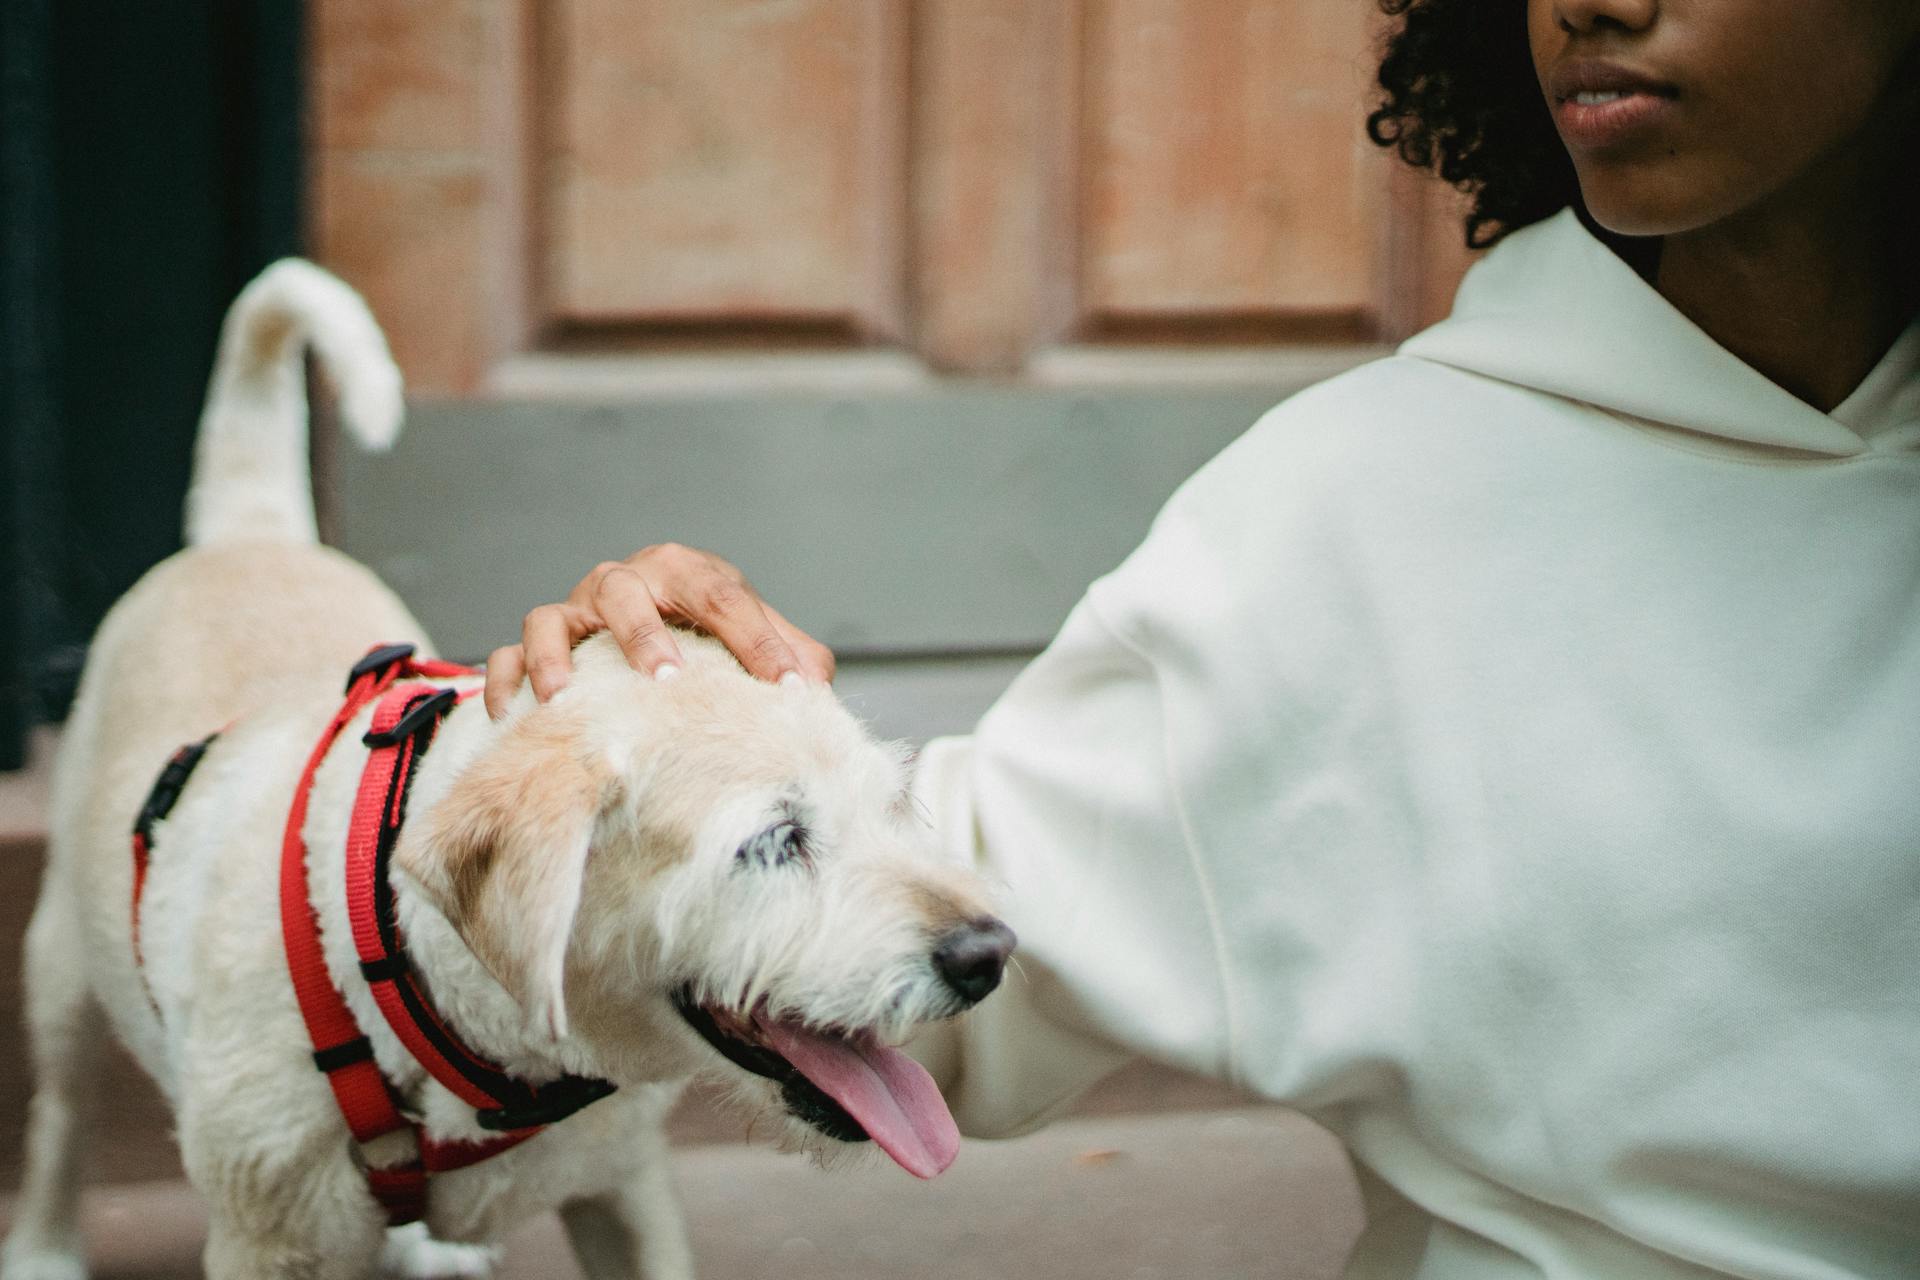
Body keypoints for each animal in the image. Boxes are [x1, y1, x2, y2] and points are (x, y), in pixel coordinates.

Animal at [0, 262, 1013, 1280]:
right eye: (773, 840)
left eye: (895, 805)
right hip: (61, 968)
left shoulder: (625, 1186)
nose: (990, 955)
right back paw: (44, 1243)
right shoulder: (270, 1240)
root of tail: (248, 534)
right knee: (60, 1112)